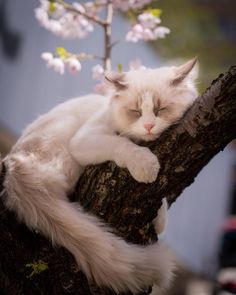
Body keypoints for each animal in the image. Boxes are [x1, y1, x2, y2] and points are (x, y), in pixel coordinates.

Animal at [0, 57, 198, 294]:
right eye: (136, 112)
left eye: (160, 110)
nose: (149, 126)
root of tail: (14, 162)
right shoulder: (87, 139)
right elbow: (123, 145)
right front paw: (146, 166)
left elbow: (160, 202)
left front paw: (159, 218)